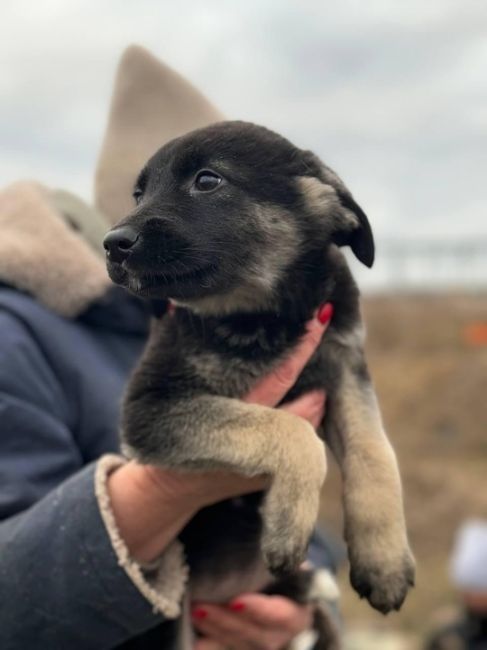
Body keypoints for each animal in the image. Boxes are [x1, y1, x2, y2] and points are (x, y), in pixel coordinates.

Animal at [103, 120, 416, 628]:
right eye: (138, 193)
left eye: (207, 180)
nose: (112, 244)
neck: (261, 319)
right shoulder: (150, 409)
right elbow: (288, 430)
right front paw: (288, 525)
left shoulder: (346, 370)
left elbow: (374, 451)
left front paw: (384, 560)